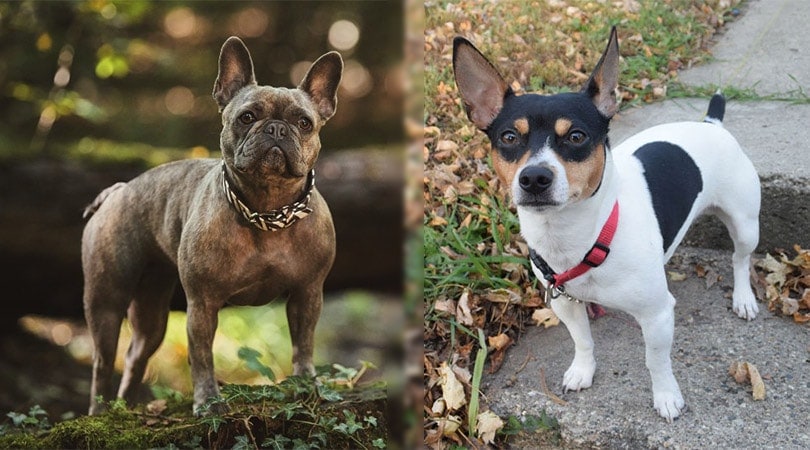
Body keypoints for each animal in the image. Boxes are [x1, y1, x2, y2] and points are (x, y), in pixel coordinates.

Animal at [452, 28, 760, 422]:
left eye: (576, 136)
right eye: (508, 137)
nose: (534, 177)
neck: (582, 237)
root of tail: (711, 125)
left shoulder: (657, 315)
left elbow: (656, 360)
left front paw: (666, 395)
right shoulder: (566, 304)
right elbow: (582, 340)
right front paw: (583, 370)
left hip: (745, 223)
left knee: (740, 259)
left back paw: (743, 298)